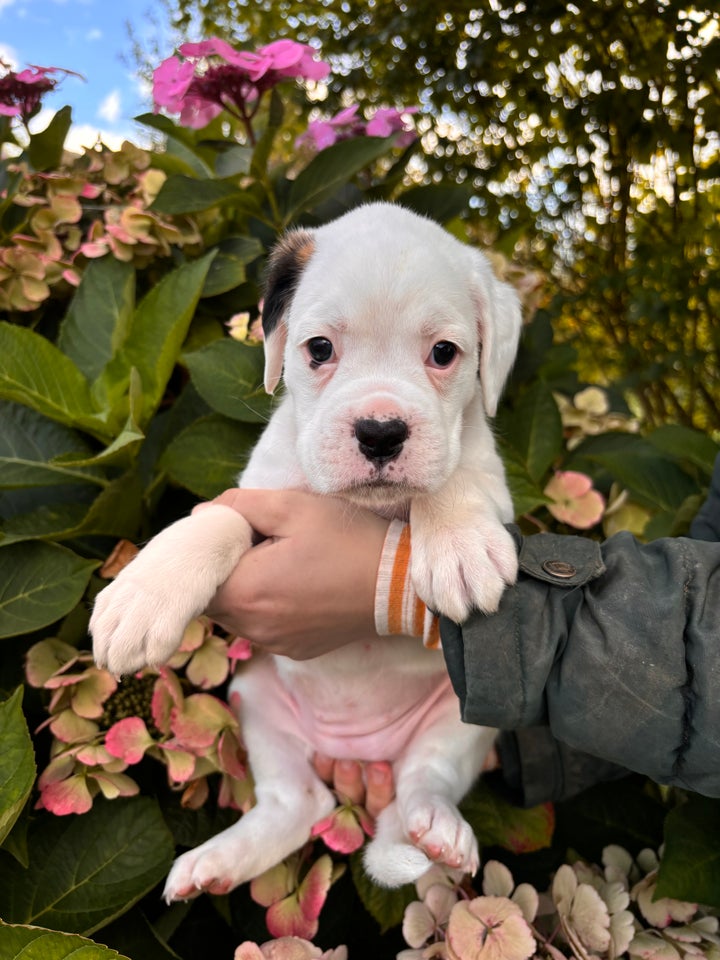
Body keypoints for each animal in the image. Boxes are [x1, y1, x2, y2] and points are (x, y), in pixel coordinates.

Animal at [90, 202, 520, 900]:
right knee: (299, 804)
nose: (380, 432)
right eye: (319, 349)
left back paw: (436, 829)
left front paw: (456, 540)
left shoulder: (493, 490)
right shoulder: (258, 497)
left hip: (470, 716)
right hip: (255, 700)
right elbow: (217, 520)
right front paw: (144, 594)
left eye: (444, 354)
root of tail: (360, 753)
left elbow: (452, 475)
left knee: (420, 786)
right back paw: (215, 863)